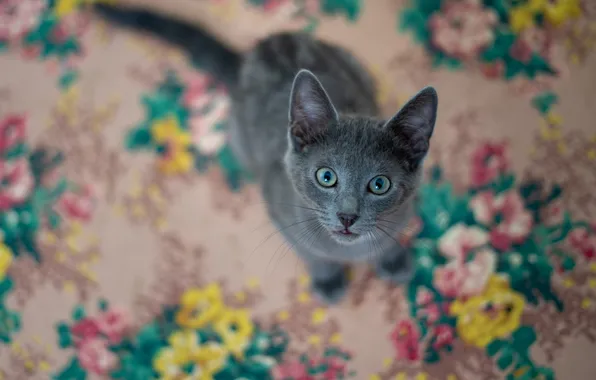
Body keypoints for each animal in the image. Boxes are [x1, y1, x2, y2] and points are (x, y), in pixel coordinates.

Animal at [94, 4, 438, 304]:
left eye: (380, 185)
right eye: (326, 177)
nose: (347, 216)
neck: (349, 250)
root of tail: (253, 52)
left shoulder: (403, 213)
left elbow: (389, 238)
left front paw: (392, 259)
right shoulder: (281, 215)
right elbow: (312, 254)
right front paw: (328, 279)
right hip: (237, 135)